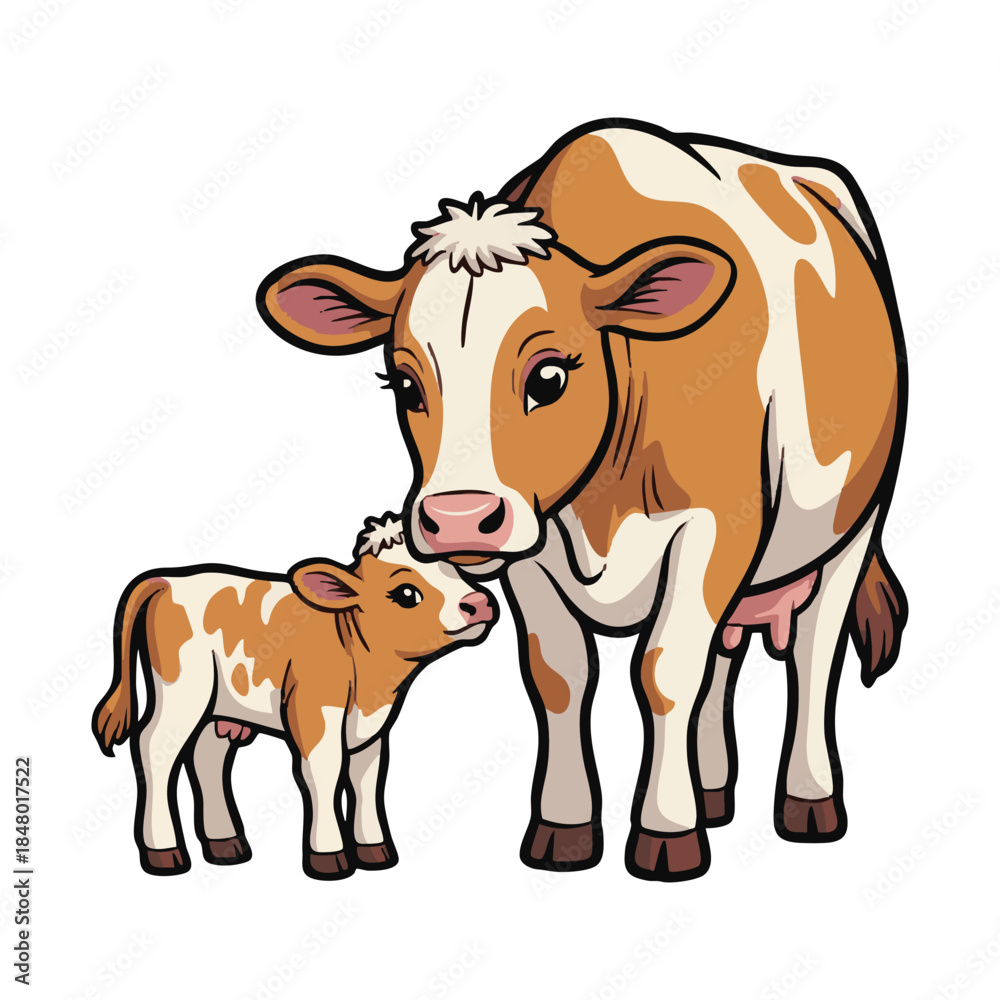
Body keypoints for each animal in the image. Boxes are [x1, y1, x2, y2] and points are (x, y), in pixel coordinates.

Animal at [92, 513, 496, 880]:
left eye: (454, 569)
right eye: (406, 594)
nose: (480, 602)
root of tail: (166, 579)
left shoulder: (371, 732)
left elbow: (366, 782)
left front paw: (375, 851)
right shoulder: (314, 712)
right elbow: (325, 775)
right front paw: (330, 856)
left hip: (219, 706)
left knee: (207, 757)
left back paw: (226, 845)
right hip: (183, 690)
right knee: (154, 747)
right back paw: (165, 852)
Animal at [257, 119, 908, 881]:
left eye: (549, 376)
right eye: (405, 382)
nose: (457, 519)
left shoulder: (715, 527)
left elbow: (664, 671)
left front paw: (666, 834)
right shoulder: (527, 552)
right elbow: (560, 676)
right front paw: (565, 826)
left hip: (854, 523)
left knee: (812, 655)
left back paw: (808, 803)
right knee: (725, 655)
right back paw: (713, 792)